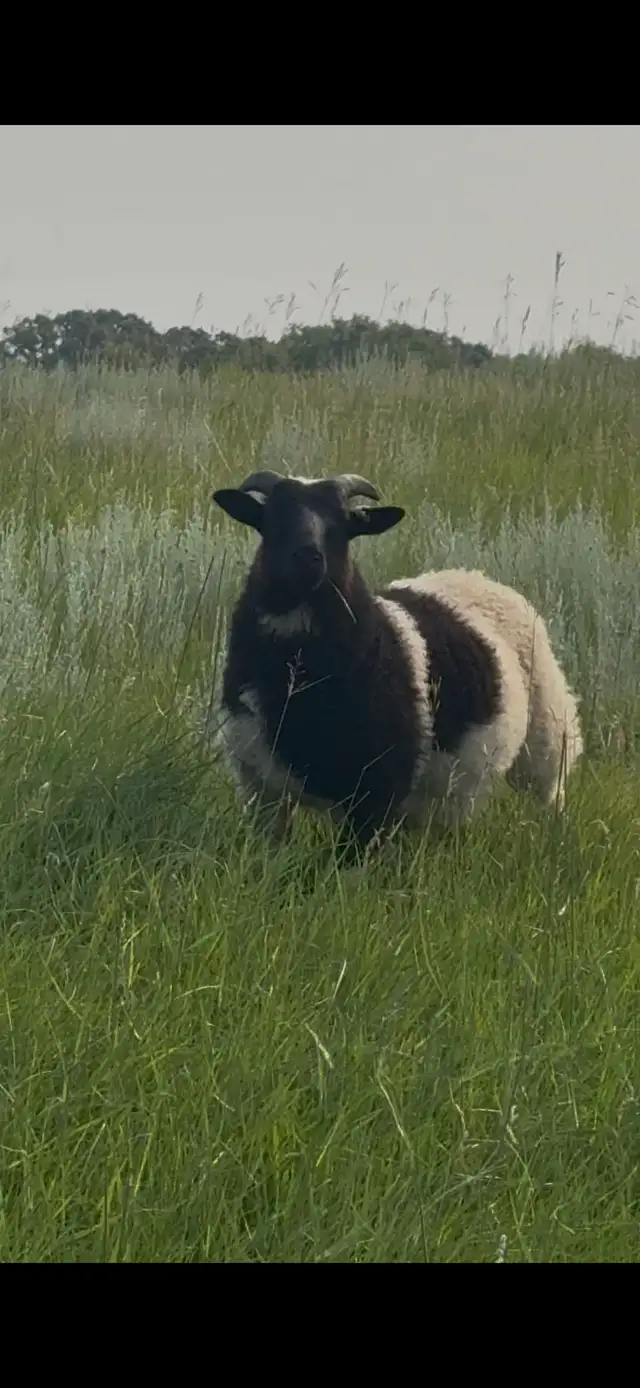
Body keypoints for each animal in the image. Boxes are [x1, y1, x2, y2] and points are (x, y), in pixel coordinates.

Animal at [211, 469, 583, 851]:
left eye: (344, 523)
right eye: (271, 518)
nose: (308, 558)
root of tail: (478, 577)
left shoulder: (375, 796)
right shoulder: (262, 789)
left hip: (547, 743)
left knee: (549, 799)